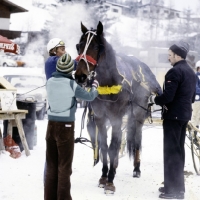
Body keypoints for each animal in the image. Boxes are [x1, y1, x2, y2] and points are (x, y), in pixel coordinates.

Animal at [74, 20, 162, 194]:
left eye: (96, 46)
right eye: (79, 46)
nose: (80, 76)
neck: (109, 84)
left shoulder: (116, 118)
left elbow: (113, 146)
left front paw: (110, 181)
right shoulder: (100, 119)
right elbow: (103, 146)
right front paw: (104, 176)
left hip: (138, 115)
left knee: (137, 139)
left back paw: (136, 168)